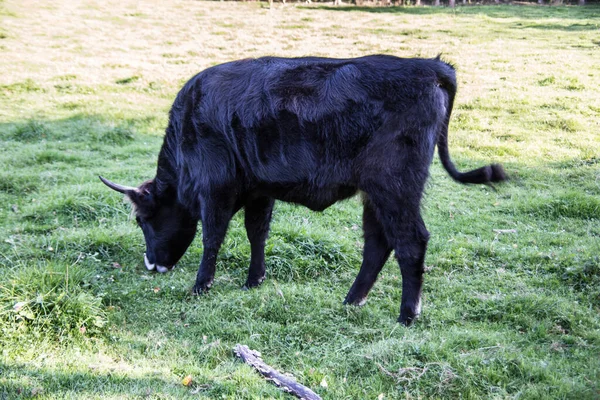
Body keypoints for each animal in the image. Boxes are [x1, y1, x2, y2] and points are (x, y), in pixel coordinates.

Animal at [101, 54, 504, 324]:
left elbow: (212, 237)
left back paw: (407, 315)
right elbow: (257, 233)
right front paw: (254, 281)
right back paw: (352, 301)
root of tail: (430, 66)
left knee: (410, 243)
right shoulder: (258, 190)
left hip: (394, 187)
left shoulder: (215, 188)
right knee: (378, 244)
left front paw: (200, 286)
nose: (151, 264)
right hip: (375, 193)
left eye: (142, 220)